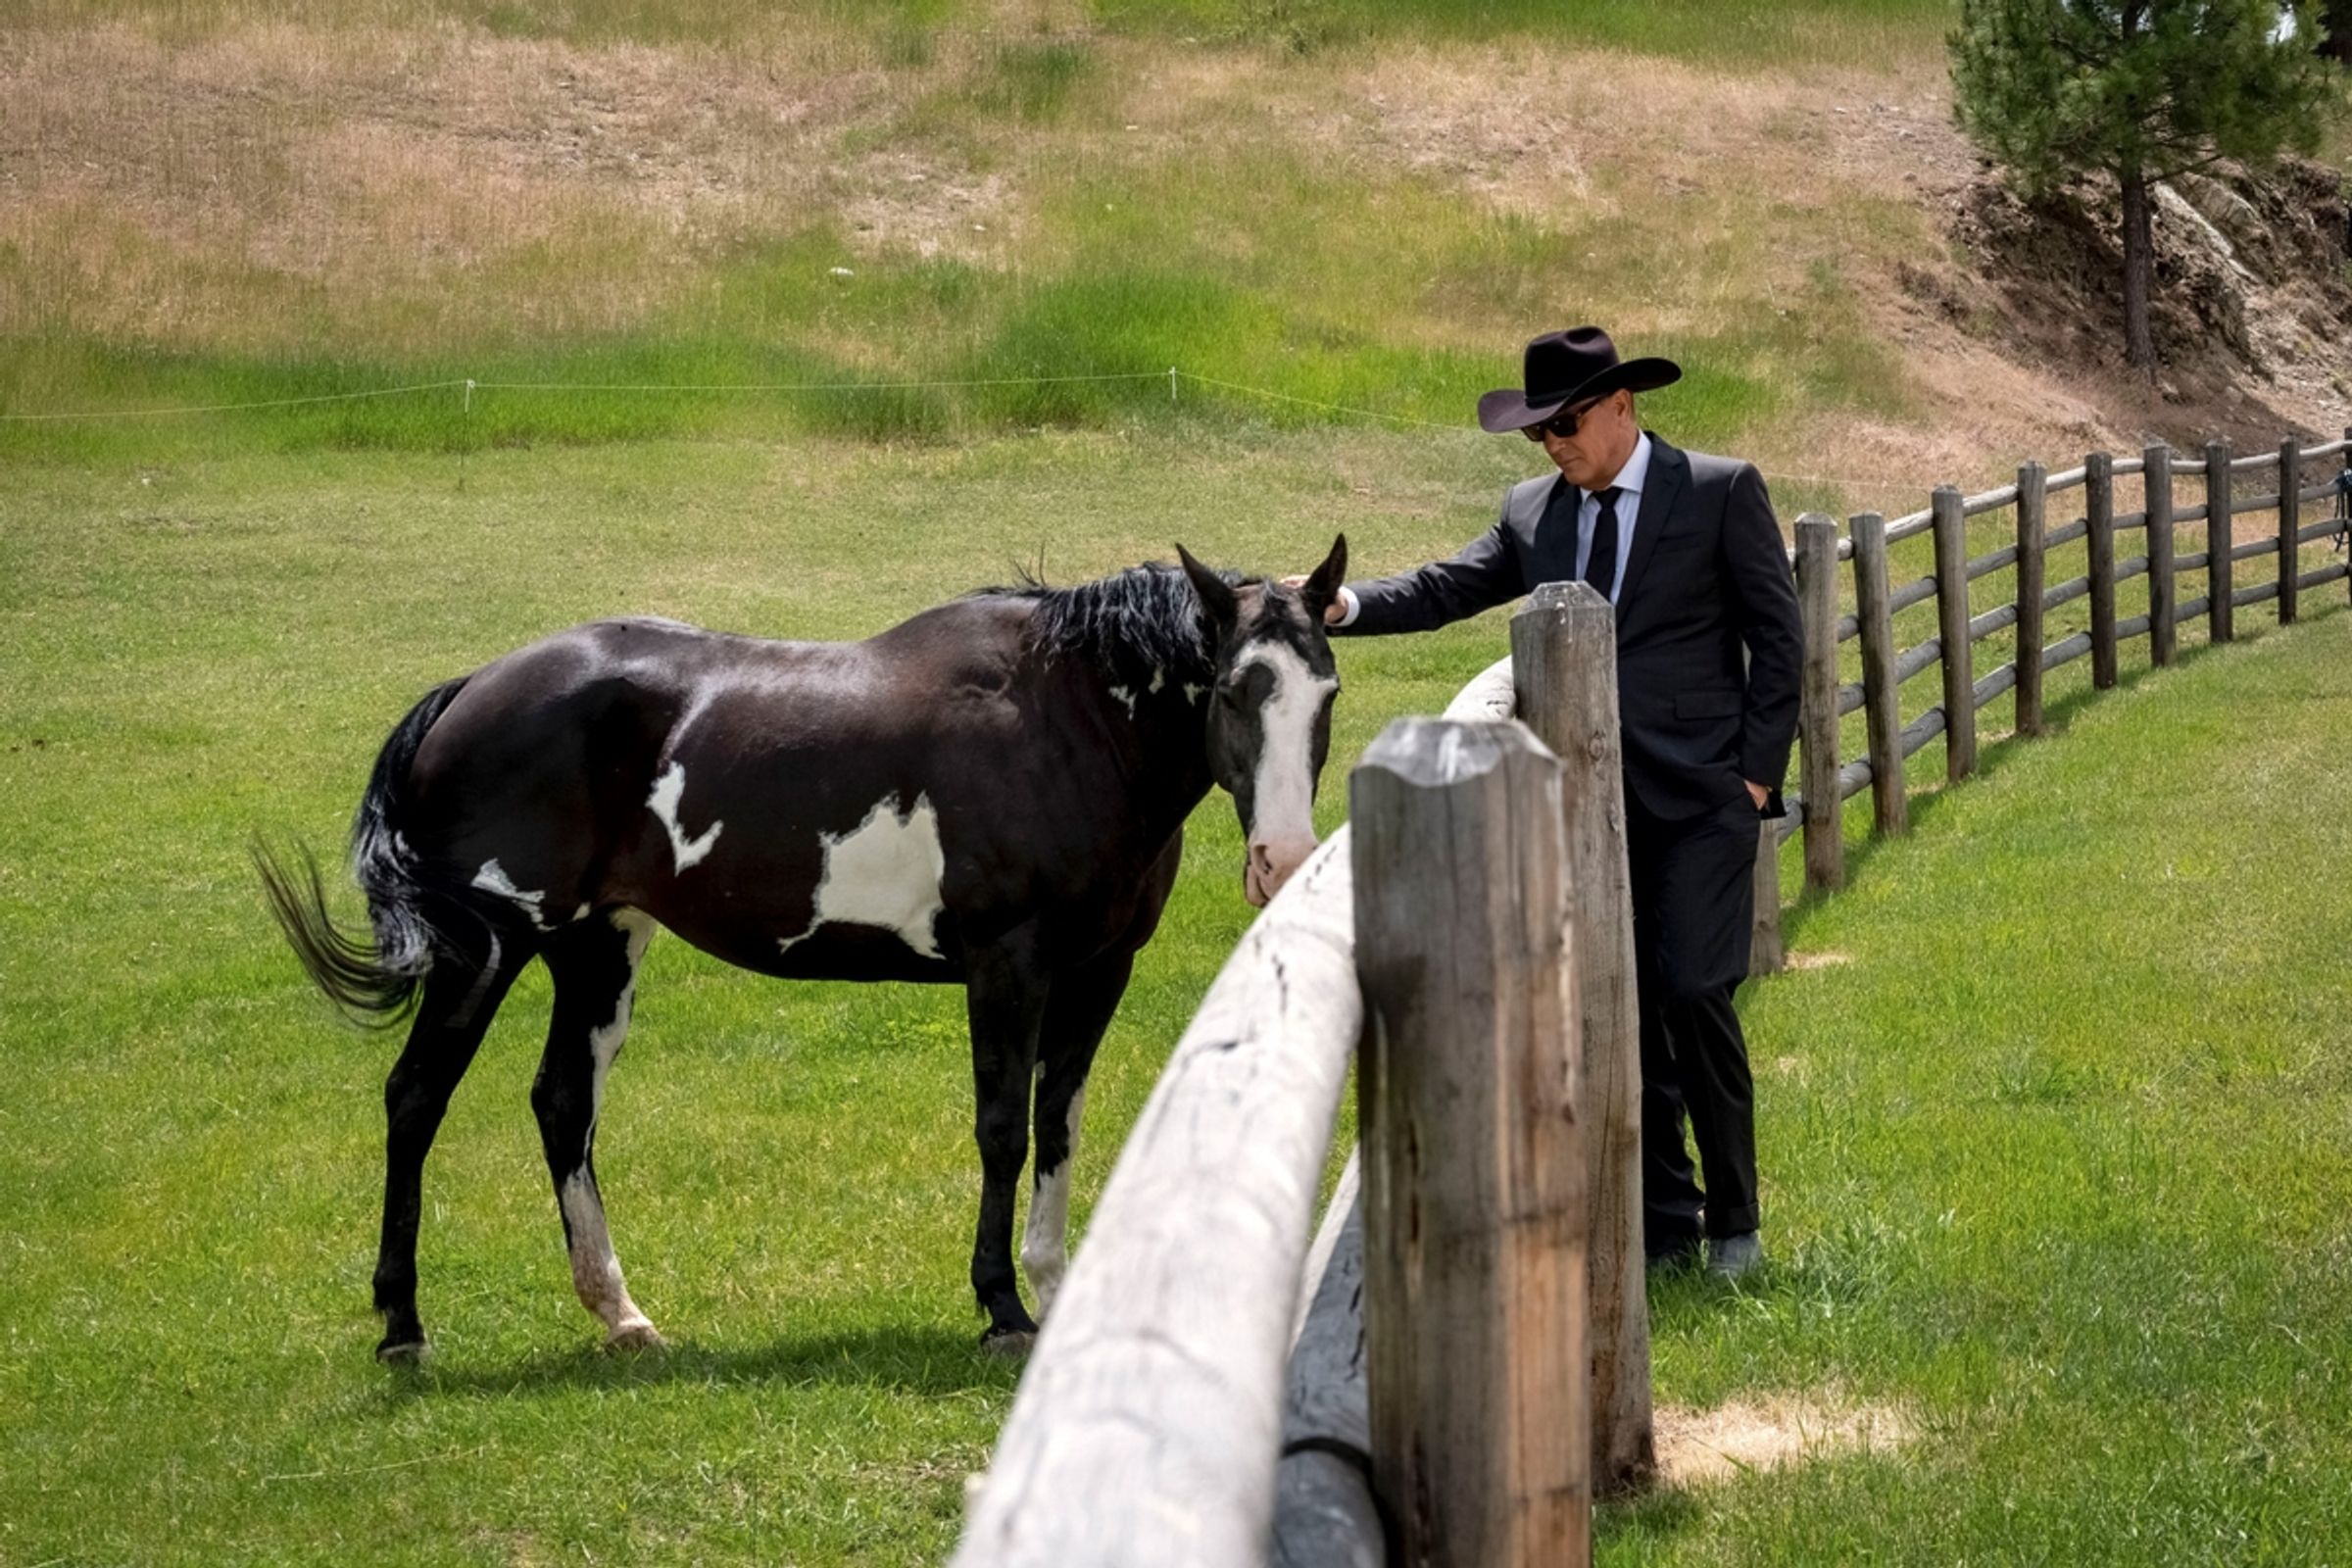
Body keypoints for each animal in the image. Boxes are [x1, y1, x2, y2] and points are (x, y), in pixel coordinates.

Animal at [257, 537, 1349, 1358]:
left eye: (1326, 692)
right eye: (1235, 688)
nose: (1285, 857)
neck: (1058, 720)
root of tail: (472, 689)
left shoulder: (1097, 970)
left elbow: (1059, 1126)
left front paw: (1053, 1286)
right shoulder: (1010, 964)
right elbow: (1002, 1128)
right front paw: (1002, 1307)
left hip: (597, 948)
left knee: (563, 1103)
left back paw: (621, 1314)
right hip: (486, 951)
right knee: (416, 1099)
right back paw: (402, 1323)